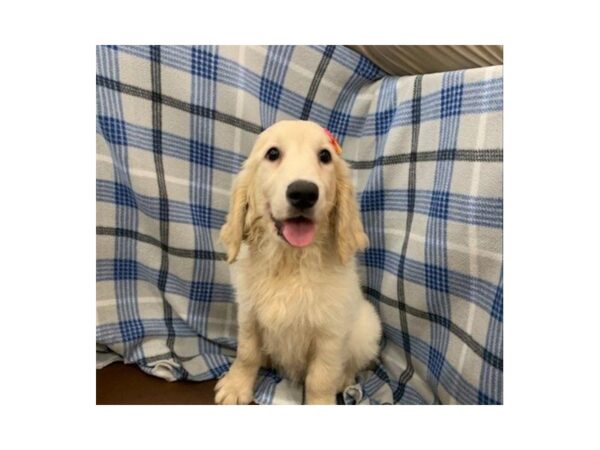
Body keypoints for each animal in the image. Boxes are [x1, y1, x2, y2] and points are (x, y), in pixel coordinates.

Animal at [216, 118, 382, 404]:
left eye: (325, 156)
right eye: (272, 154)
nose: (303, 192)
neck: (290, 261)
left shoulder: (331, 334)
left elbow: (321, 379)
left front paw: (320, 403)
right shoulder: (249, 315)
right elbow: (247, 353)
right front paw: (236, 387)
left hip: (367, 327)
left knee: (351, 363)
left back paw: (346, 380)